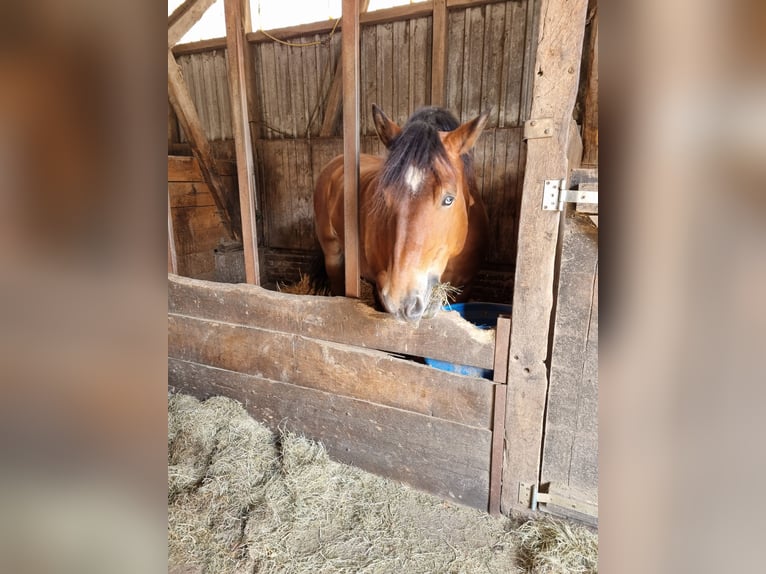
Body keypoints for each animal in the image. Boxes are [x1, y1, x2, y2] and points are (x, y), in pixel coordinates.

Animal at [314, 106, 488, 324]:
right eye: (385, 196)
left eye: (449, 199)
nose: (403, 302)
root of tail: (334, 163)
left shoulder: (465, 287)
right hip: (333, 256)